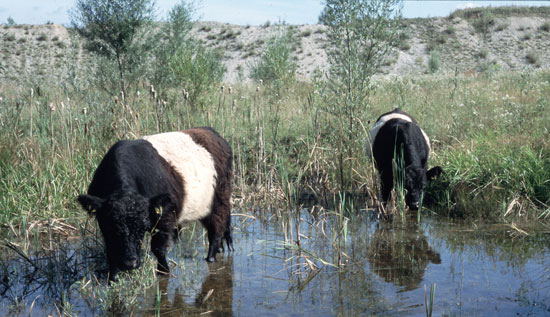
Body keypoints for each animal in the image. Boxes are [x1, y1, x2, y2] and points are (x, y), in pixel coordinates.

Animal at [78, 127, 233, 280]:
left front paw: (164, 271)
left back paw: (211, 258)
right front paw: (113, 278)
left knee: (216, 229)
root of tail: (211, 131)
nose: (130, 263)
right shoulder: (103, 223)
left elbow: (158, 248)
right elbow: (111, 249)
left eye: (141, 228)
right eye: (114, 227)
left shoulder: (164, 216)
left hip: (219, 200)